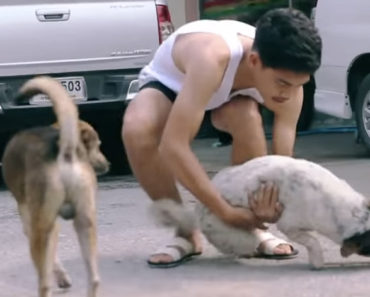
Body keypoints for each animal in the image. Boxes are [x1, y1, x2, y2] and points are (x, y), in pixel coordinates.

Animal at [2, 76, 110, 296]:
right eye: (97, 145)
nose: (108, 164)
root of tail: (64, 148)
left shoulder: (33, 223)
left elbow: (52, 259)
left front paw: (61, 277)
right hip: (85, 222)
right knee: (94, 279)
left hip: (40, 229)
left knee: (44, 284)